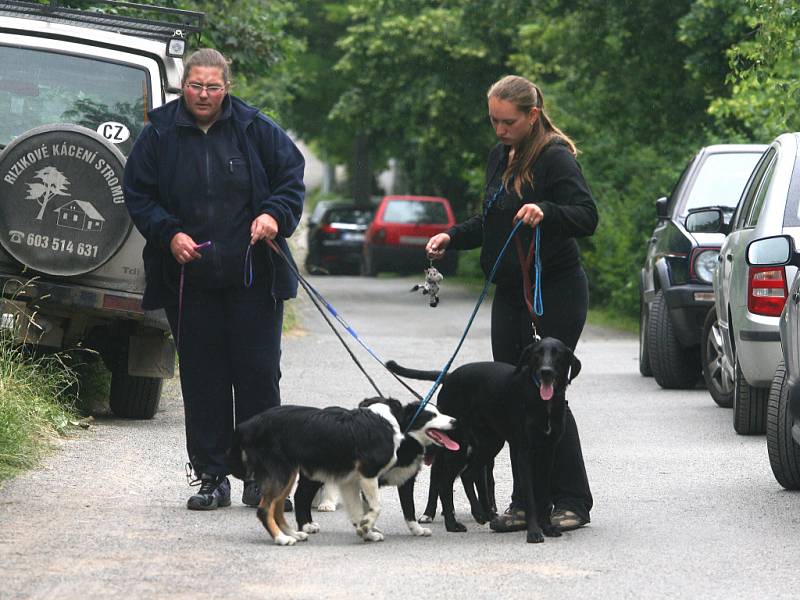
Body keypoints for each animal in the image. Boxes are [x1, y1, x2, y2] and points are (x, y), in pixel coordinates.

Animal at [230, 396, 456, 548]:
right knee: (265, 508)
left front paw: (366, 531)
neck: (383, 417)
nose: (454, 421)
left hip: (289, 472)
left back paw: (294, 533)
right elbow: (375, 507)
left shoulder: (352, 481)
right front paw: (367, 527)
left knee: (278, 506)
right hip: (282, 471)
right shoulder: (368, 473)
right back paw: (282, 538)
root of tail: (246, 425)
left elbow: (359, 511)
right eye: (432, 415)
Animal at [384, 338, 580, 544]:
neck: (542, 403)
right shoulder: (524, 454)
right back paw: (451, 523)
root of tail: (451, 376)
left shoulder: (548, 453)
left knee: (468, 474)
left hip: (489, 445)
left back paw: (479, 514)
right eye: (537, 353)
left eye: (558, 354)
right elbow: (530, 498)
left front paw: (548, 527)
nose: (546, 371)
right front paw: (534, 532)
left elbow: (542, 496)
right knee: (445, 482)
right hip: (458, 446)